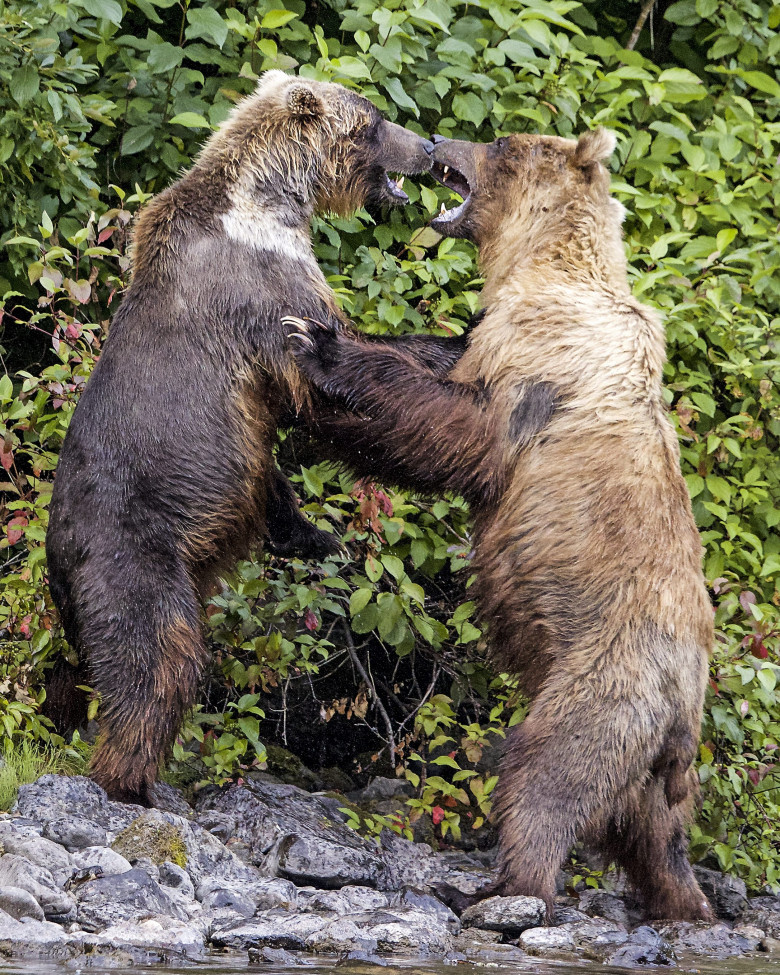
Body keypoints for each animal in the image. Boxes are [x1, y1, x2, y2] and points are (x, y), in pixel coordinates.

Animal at [284, 130, 712, 924]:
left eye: (502, 143)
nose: (437, 139)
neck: (541, 265)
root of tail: (682, 708)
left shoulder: (545, 363)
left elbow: (455, 428)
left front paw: (320, 346)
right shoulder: (485, 338)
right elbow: (435, 352)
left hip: (602, 682)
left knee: (546, 773)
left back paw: (500, 886)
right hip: (654, 764)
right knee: (656, 830)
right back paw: (683, 901)